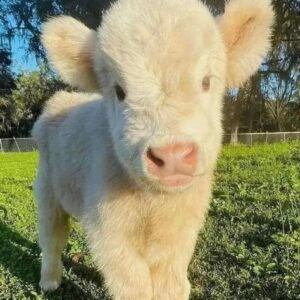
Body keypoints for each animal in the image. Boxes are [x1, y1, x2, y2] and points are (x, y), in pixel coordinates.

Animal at [32, 1, 274, 298]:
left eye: (206, 81)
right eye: (119, 91)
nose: (172, 155)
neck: (156, 204)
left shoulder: (181, 233)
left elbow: (172, 284)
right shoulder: (108, 234)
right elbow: (134, 286)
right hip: (47, 191)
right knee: (51, 238)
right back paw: (49, 282)